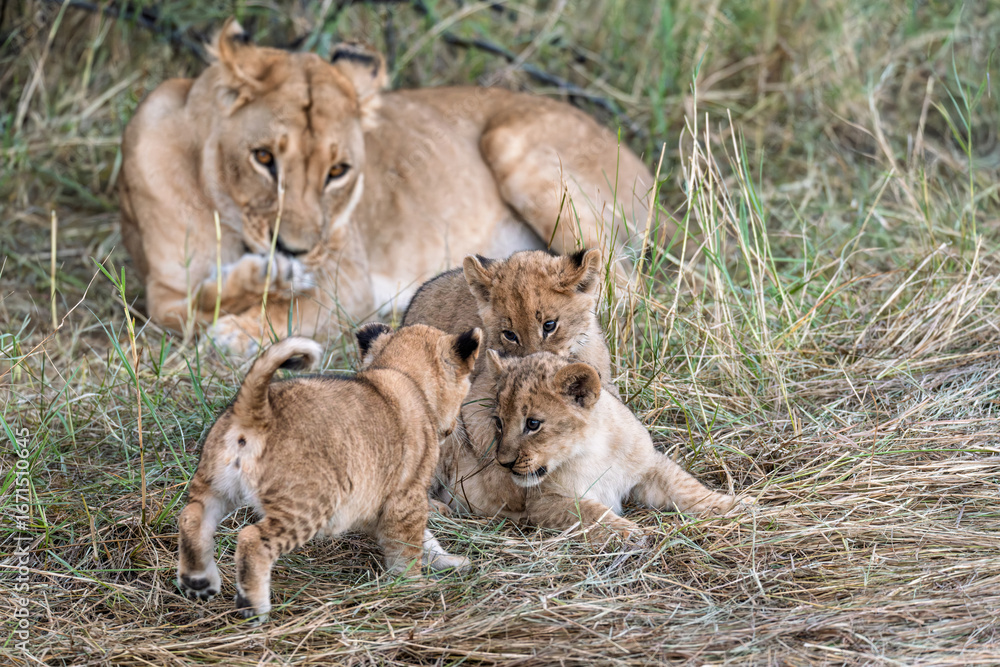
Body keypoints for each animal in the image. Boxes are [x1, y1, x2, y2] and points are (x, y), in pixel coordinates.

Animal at [119, 19, 677, 354]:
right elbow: (180, 309)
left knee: (627, 293)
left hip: (510, 143)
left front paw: (241, 325)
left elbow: (287, 312)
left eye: (338, 171)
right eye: (263, 159)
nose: (294, 251)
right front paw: (259, 281)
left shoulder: (347, 281)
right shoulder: (160, 290)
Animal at [176, 323, 480, 623]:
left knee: (191, 517)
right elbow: (407, 546)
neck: (399, 371)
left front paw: (452, 563)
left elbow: (426, 539)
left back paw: (198, 581)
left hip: (215, 485)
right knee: (251, 539)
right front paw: (414, 585)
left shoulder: (382, 500)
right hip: (308, 503)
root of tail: (257, 410)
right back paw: (254, 606)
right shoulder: (406, 495)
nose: (456, 427)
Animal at [433, 351, 737, 544]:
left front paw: (736, 506)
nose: (503, 463)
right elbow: (591, 512)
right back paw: (440, 510)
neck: (594, 450)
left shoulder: (649, 466)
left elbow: (686, 487)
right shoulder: (541, 503)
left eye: (533, 423)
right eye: (498, 422)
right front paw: (629, 532)